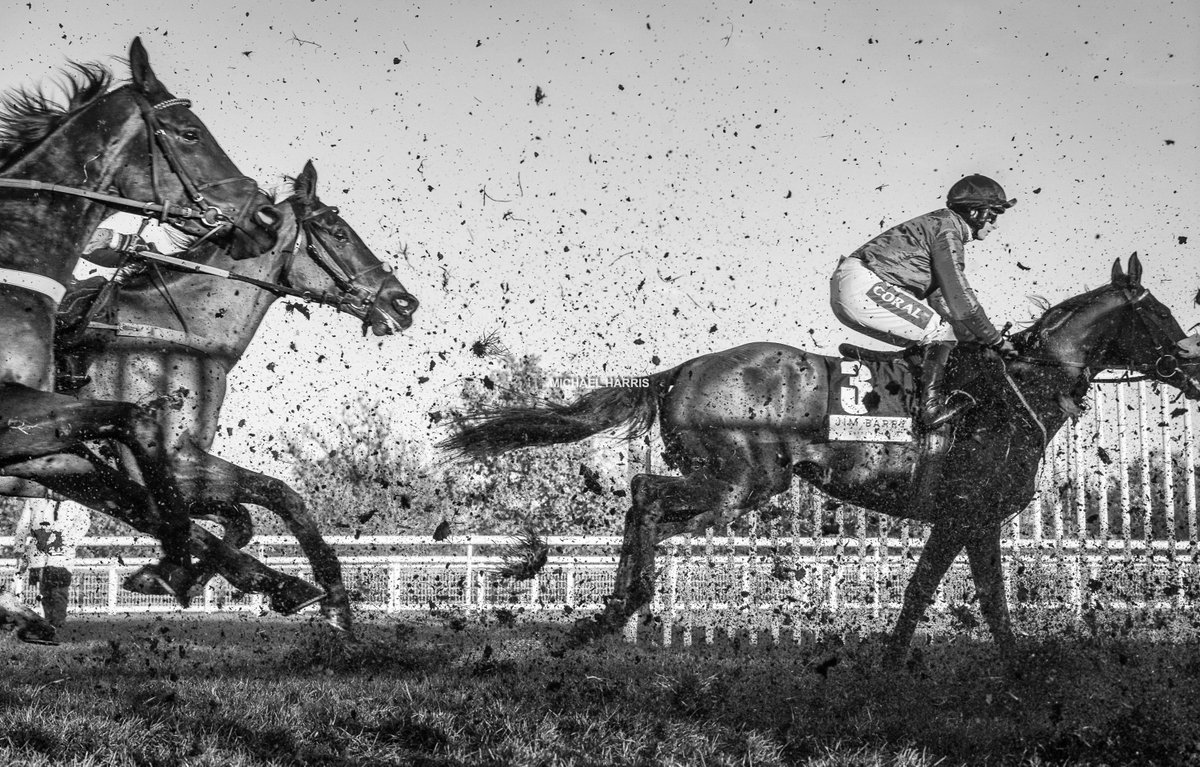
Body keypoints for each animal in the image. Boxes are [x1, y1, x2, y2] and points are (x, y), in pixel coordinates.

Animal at [57, 160, 422, 628]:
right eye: (337, 231)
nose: (403, 303)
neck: (174, 329)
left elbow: (240, 519)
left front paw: (175, 576)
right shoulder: (166, 459)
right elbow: (281, 494)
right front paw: (334, 602)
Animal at [446, 254, 1200, 662]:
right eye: (1161, 315)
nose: (1193, 365)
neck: (1018, 390)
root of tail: (681, 369)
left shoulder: (967, 521)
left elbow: (949, 595)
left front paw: (905, 666)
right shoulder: (969, 515)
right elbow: (970, 598)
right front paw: (1011, 675)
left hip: (731, 480)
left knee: (640, 494)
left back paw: (602, 615)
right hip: (742, 481)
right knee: (650, 499)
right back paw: (620, 604)